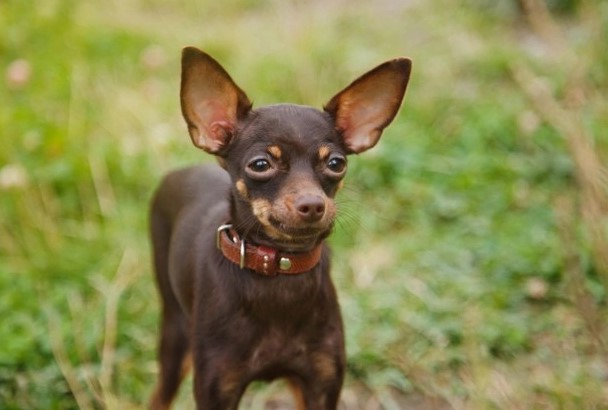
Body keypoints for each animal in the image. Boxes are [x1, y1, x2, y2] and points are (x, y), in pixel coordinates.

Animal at [149, 46, 410, 408]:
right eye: (261, 165)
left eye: (336, 163)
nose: (313, 204)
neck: (281, 271)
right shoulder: (217, 390)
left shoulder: (321, 385)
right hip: (175, 335)